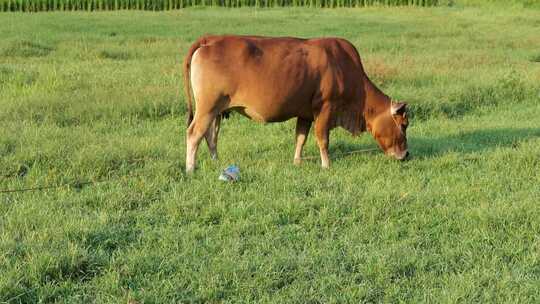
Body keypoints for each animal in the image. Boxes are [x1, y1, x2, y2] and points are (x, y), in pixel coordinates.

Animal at [182, 34, 410, 172]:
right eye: (404, 125)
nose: (406, 154)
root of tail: (211, 39)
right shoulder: (325, 108)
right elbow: (322, 139)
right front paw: (326, 165)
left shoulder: (306, 113)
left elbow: (301, 138)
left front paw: (297, 161)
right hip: (207, 108)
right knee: (194, 134)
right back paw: (190, 168)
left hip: (216, 110)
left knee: (210, 136)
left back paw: (216, 161)